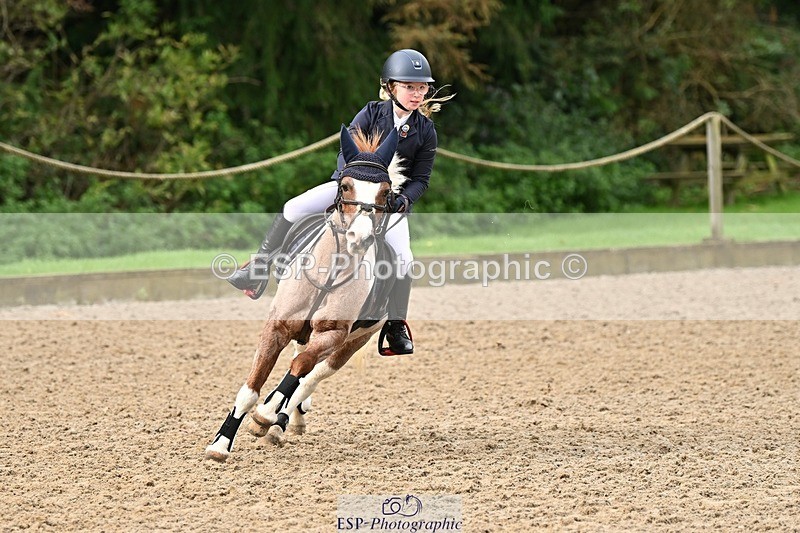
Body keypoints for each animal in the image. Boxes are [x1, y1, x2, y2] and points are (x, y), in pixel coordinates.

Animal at [205, 125, 406, 462]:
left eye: (385, 193)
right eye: (346, 186)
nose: (360, 238)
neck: (330, 272)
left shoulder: (334, 334)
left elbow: (300, 369)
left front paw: (267, 414)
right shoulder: (277, 326)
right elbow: (251, 389)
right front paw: (221, 443)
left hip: (355, 340)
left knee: (312, 374)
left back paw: (279, 420)